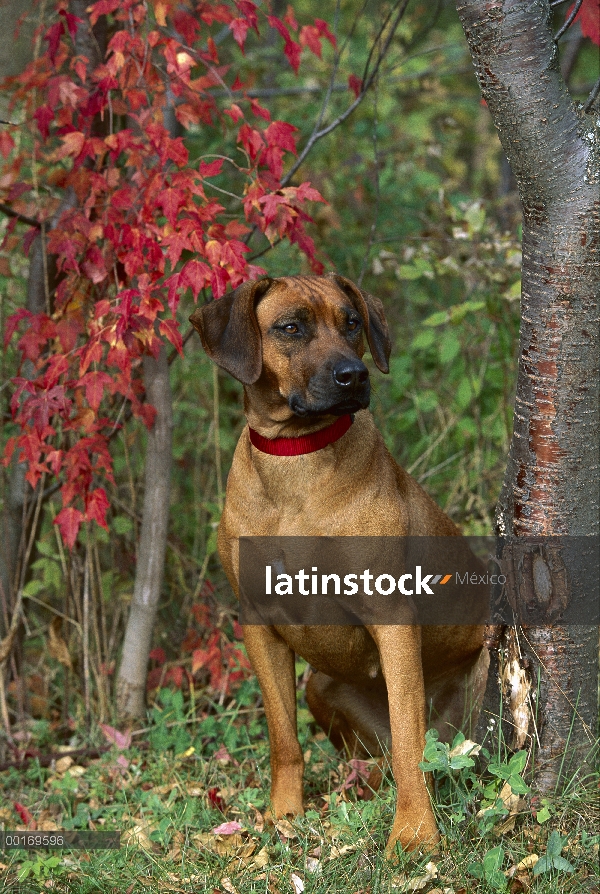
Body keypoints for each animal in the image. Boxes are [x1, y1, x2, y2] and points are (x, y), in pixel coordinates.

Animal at [190, 272, 490, 856]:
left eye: (352, 322)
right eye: (290, 327)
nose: (353, 375)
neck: (297, 459)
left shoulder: (392, 618)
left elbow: (408, 740)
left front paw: (414, 832)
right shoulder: (258, 624)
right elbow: (283, 738)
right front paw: (283, 815)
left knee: (427, 748)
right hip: (320, 686)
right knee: (377, 759)